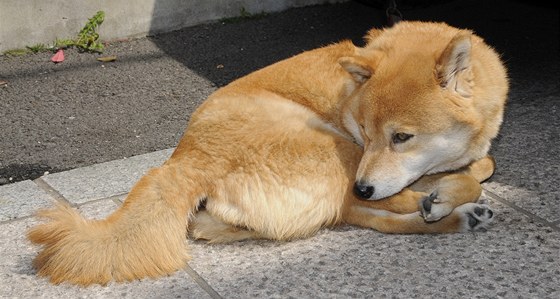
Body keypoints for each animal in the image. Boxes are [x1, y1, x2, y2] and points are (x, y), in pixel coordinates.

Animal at [26, 21, 508, 286]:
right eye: (366, 132)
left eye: (402, 137)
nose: (366, 186)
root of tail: (185, 161)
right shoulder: (357, 152)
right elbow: (472, 174)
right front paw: (443, 192)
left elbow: (485, 163)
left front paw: (452, 182)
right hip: (329, 147)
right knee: (356, 211)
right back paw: (445, 209)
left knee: (357, 215)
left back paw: (452, 214)